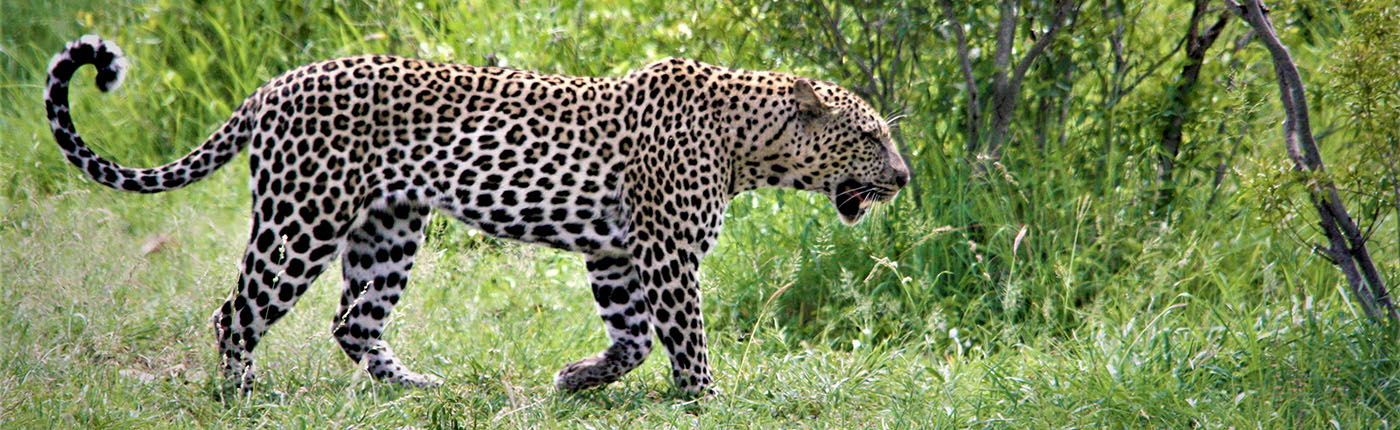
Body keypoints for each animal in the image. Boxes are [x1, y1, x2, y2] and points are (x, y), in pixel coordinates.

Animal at [40, 35, 907, 394]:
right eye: (870, 136)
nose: (903, 177)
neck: (748, 146)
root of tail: (271, 86)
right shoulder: (664, 254)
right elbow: (684, 336)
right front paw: (704, 399)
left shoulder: (615, 254)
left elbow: (631, 337)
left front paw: (577, 379)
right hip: (302, 221)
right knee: (236, 312)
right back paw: (241, 396)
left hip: (388, 230)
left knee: (352, 322)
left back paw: (414, 387)